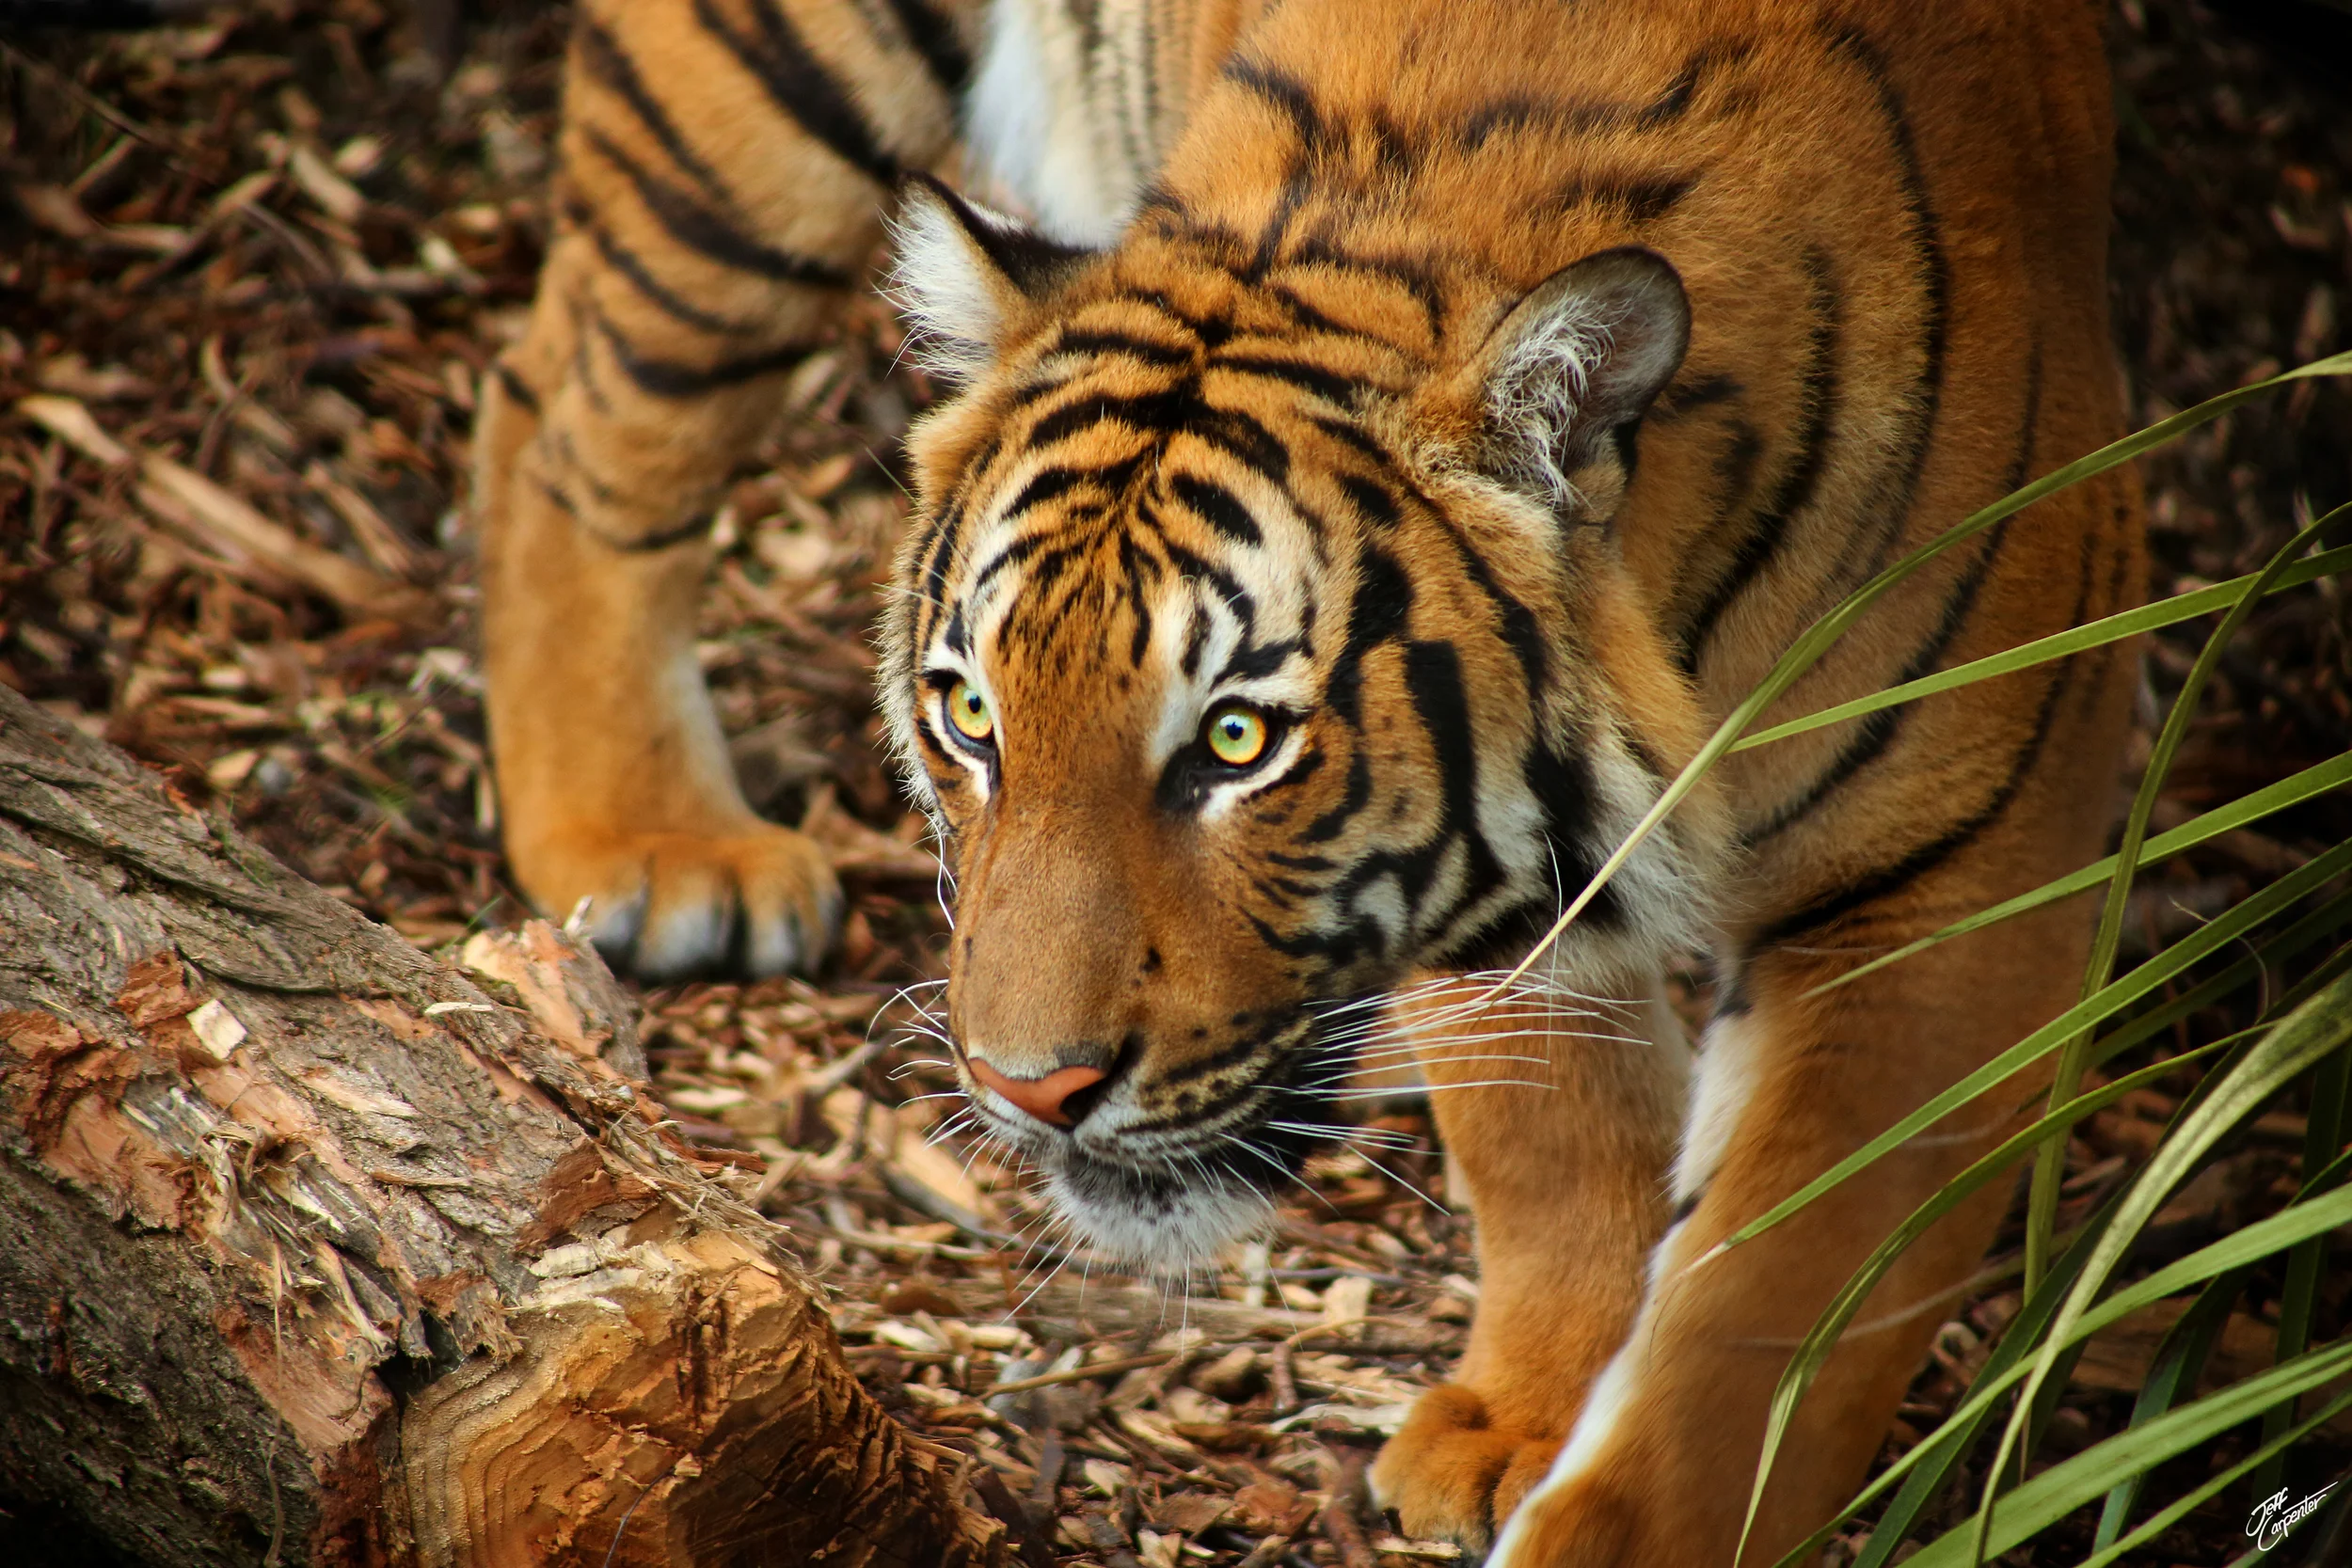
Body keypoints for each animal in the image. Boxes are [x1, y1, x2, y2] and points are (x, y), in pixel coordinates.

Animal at [472, 0, 2145, 1561]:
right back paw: (648, 838)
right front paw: (1533, 1418)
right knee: (576, 401)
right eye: (969, 713)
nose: (1027, 1090)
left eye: (1236, 739)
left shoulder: (1958, 895)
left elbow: (1772, 1316)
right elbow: (1561, 1136)